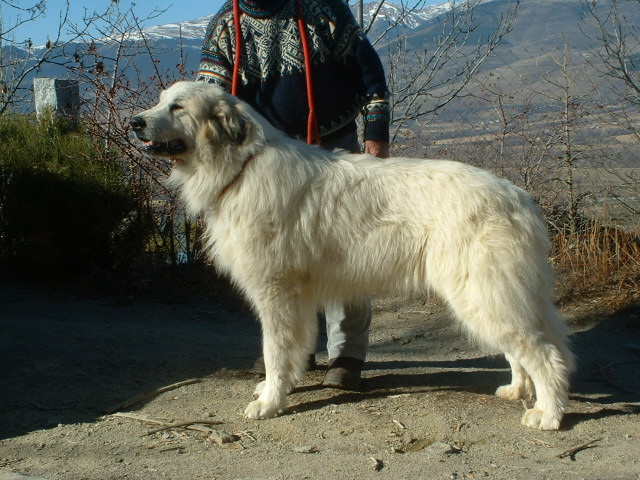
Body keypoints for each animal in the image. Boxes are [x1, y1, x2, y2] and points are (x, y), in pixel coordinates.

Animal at [131, 80, 576, 430]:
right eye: (161, 100)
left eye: (178, 107)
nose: (134, 122)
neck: (242, 165)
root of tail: (517, 197)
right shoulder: (298, 298)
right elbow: (293, 350)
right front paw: (280, 388)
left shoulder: (276, 291)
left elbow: (274, 351)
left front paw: (270, 402)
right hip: (497, 294)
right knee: (528, 348)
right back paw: (518, 389)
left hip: (482, 293)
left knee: (545, 354)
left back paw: (548, 414)